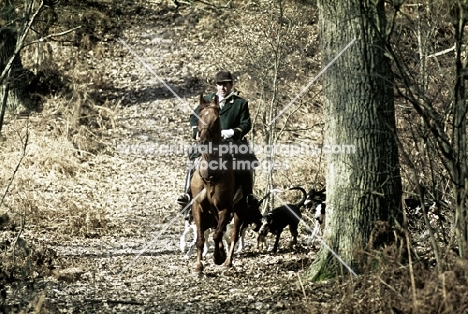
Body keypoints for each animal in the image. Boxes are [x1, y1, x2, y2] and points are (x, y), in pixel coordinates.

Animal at [190, 93, 247, 272]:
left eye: (216, 119)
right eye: (199, 115)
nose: (202, 141)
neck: (211, 173)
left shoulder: (225, 208)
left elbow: (217, 234)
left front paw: (218, 257)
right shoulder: (198, 207)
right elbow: (201, 238)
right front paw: (198, 265)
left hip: (239, 207)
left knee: (233, 234)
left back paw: (228, 260)